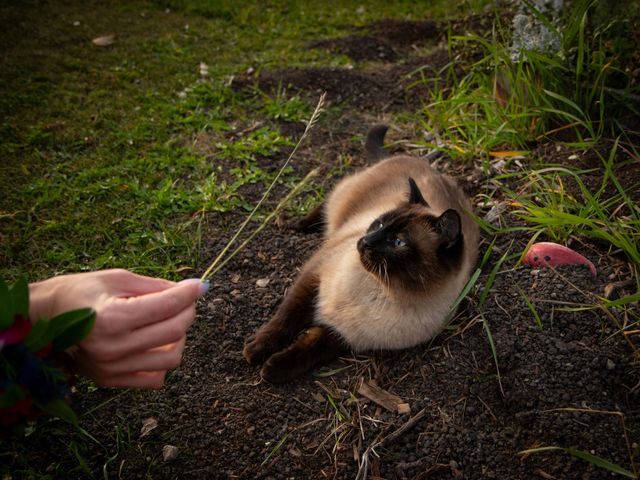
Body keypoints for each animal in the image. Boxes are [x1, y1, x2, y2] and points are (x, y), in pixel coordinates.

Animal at [242, 124, 478, 382]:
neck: (382, 291)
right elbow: (285, 320)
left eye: (398, 242)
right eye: (379, 224)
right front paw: (255, 351)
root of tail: (419, 161)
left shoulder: (342, 335)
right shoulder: (314, 276)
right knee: (323, 208)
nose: (364, 241)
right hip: (340, 201)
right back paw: (288, 223)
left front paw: (273, 369)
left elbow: (307, 351)